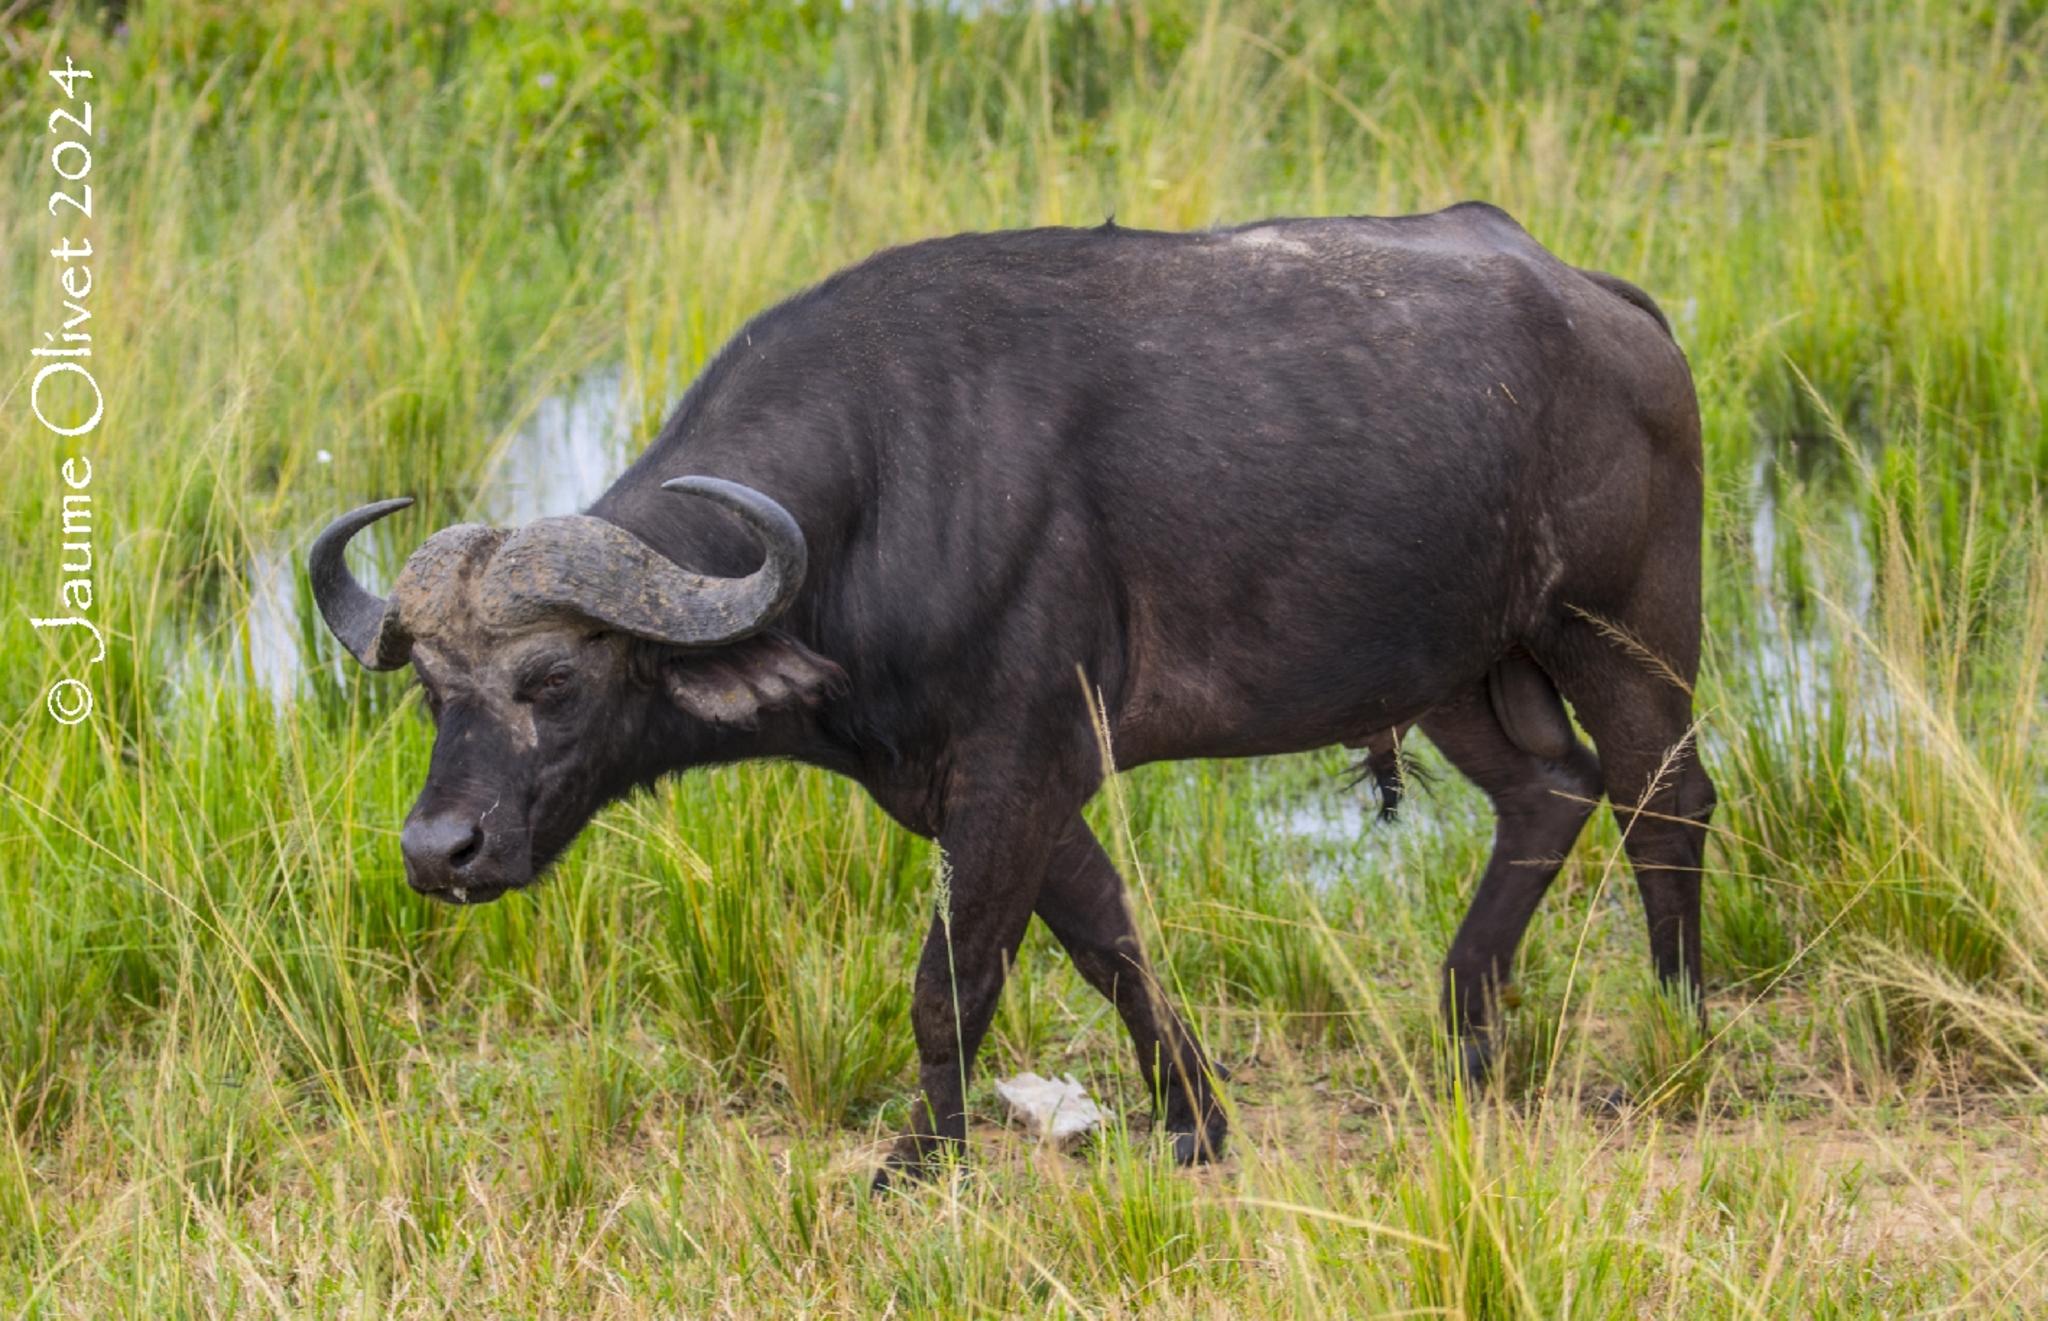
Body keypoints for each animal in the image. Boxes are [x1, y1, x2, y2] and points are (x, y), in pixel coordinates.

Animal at [303, 205, 1712, 1187]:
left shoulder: (1014, 769)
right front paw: (1193, 1119)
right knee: (1548, 790)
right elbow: (1107, 940)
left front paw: (923, 1158)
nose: (438, 851)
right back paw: (1466, 1027)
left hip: (1620, 626)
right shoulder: (972, 786)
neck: (879, 501)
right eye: (430, 692)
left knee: (1663, 796)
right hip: (1459, 667)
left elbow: (954, 978)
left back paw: (1678, 1023)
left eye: (553, 677)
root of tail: (1607, 306)